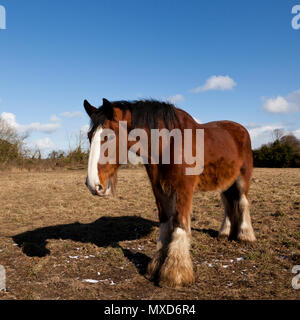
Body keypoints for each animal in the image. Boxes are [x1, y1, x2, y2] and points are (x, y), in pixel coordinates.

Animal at [82, 98, 255, 288]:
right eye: (89, 136)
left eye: (110, 136)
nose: (93, 184)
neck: (170, 143)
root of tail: (240, 129)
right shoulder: (159, 188)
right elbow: (165, 223)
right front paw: (157, 265)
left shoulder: (184, 189)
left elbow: (179, 224)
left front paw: (175, 273)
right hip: (225, 182)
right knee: (228, 204)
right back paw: (225, 232)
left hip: (242, 178)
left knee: (242, 202)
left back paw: (245, 235)